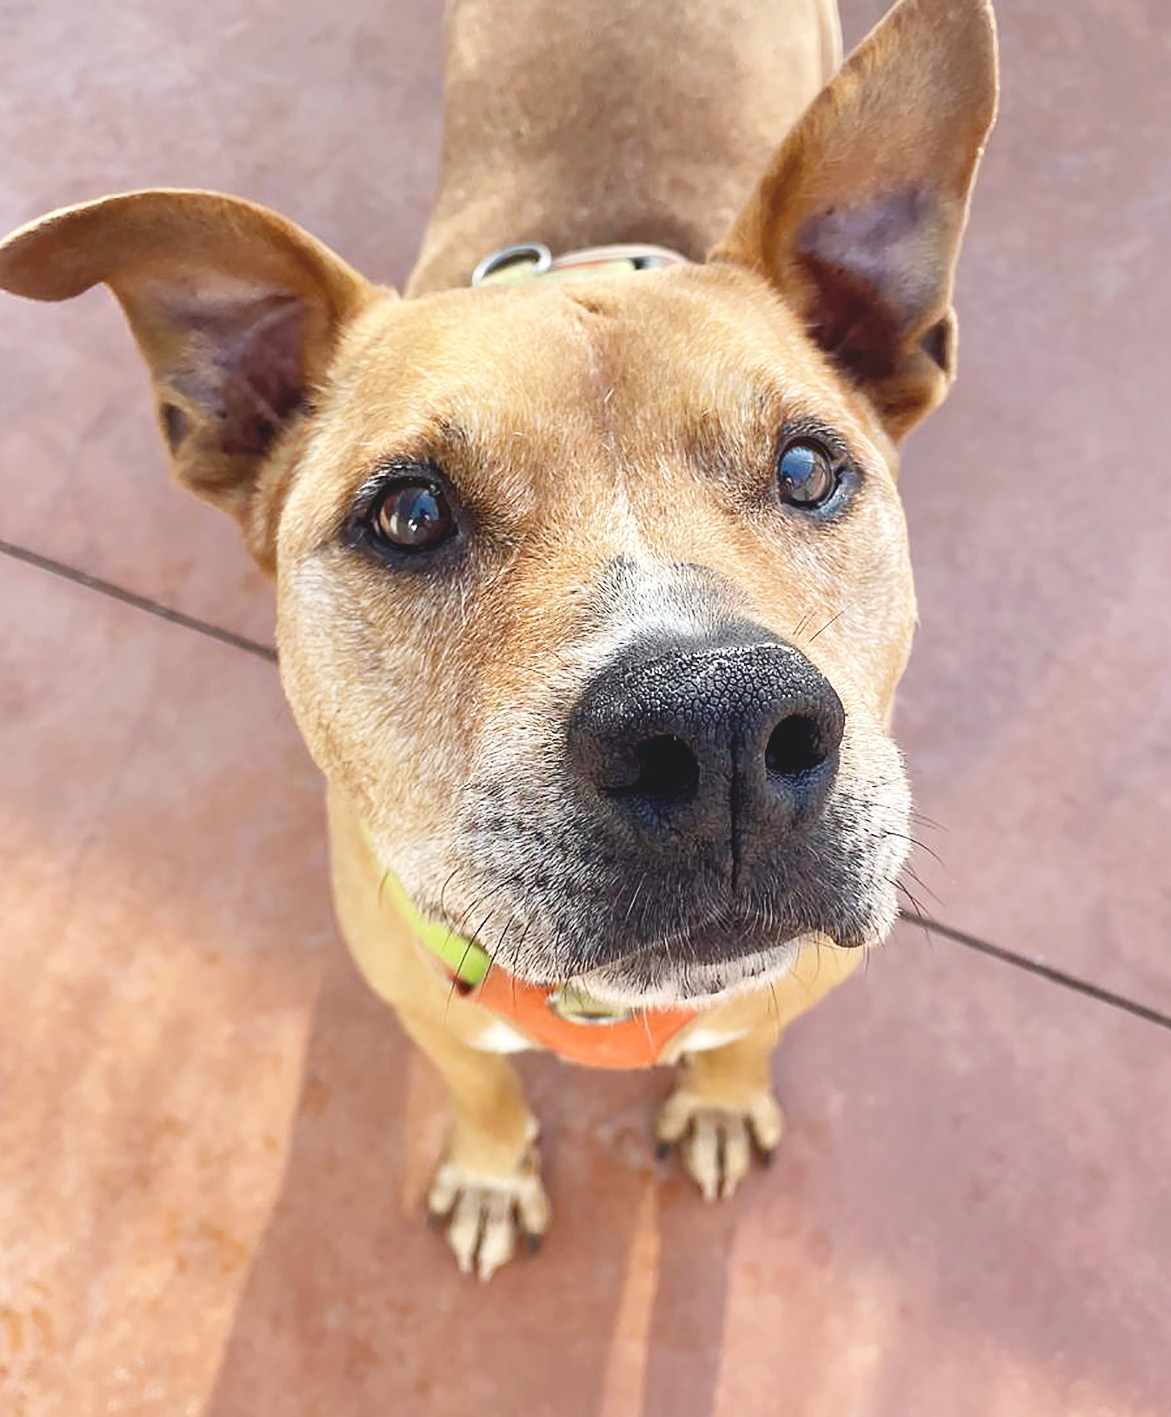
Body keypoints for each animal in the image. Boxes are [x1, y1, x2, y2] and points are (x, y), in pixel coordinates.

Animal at [0, 0, 997, 1278]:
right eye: (409, 514)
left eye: (808, 469)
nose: (716, 719)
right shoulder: (423, 1003)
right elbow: (480, 1089)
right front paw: (488, 1173)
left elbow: (742, 1039)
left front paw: (720, 1098)